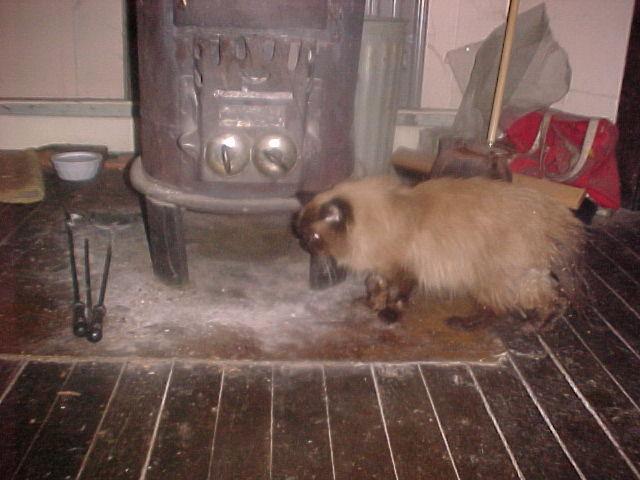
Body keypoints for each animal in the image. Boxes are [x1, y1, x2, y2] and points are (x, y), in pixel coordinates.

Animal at [296, 174, 584, 328]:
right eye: (302, 235)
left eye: (312, 237)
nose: (304, 246)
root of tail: (547, 215)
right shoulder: (381, 269)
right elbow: (374, 286)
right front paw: (371, 304)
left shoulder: (404, 270)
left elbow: (397, 296)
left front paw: (388, 315)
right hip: (520, 276)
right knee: (552, 296)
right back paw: (540, 324)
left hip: (488, 278)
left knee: (499, 310)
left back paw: (467, 323)